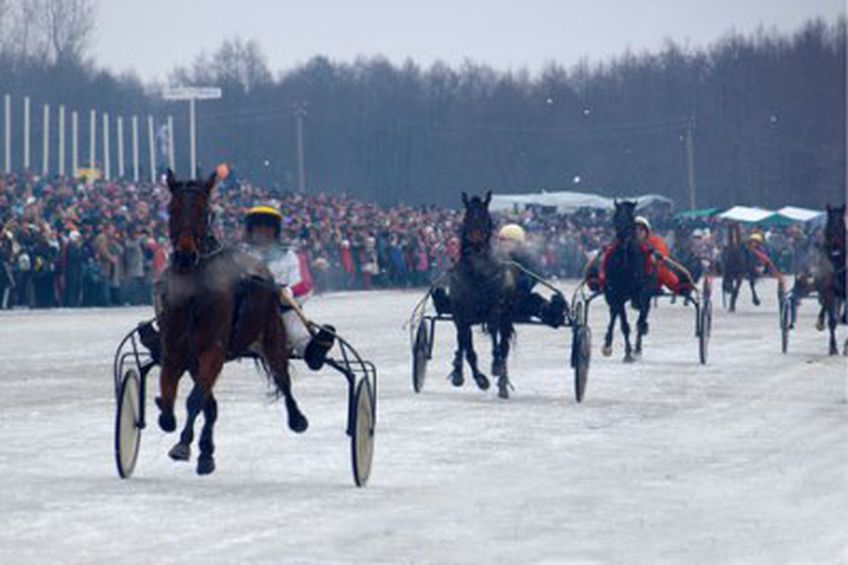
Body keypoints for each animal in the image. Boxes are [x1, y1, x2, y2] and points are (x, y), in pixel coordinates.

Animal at [156, 170, 308, 474]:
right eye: (172, 208)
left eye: (205, 212)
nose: (185, 255)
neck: (194, 295)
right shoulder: (176, 352)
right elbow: (169, 401)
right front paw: (174, 425)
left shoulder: (213, 349)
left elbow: (195, 399)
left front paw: (183, 445)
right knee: (210, 404)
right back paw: (206, 452)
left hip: (273, 332)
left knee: (283, 378)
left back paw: (297, 418)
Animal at [444, 192, 516, 398]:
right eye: (467, 217)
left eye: (485, 217)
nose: (476, 242)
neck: (476, 274)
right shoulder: (460, 315)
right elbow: (467, 347)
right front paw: (480, 379)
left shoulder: (494, 308)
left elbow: (494, 333)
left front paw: (495, 365)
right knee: (462, 342)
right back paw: (458, 370)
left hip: (507, 316)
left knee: (503, 344)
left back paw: (502, 382)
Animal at [600, 200, 652, 364]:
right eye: (616, 217)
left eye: (630, 218)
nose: (623, 238)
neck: (625, 260)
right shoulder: (617, 292)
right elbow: (624, 324)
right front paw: (628, 353)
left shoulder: (643, 291)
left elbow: (641, 316)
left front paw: (637, 350)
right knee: (614, 312)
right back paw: (607, 344)